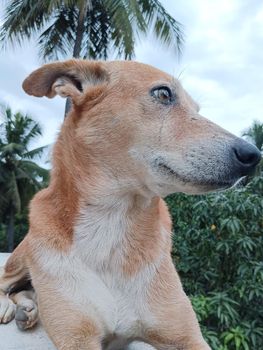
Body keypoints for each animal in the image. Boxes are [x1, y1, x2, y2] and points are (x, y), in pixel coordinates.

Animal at [0, 58, 262, 348]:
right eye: (163, 94)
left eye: (196, 109)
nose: (253, 156)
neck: (114, 220)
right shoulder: (78, 337)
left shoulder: (188, 336)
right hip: (24, 254)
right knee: (6, 281)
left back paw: (28, 308)